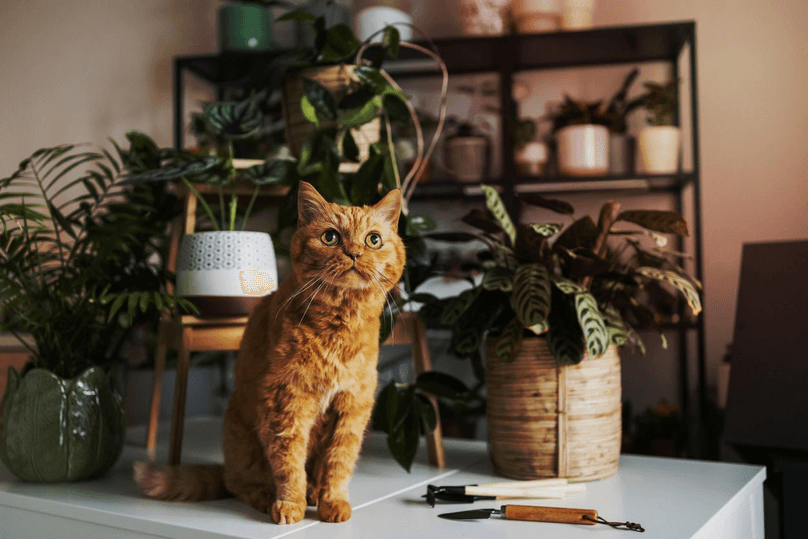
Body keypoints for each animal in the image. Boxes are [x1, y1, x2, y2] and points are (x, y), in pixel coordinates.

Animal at [135, 180, 408, 524]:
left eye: (373, 239)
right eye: (330, 237)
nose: (354, 253)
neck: (339, 325)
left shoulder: (352, 406)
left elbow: (339, 462)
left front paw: (333, 502)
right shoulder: (285, 401)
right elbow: (289, 462)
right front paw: (290, 505)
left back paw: (314, 493)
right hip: (244, 446)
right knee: (240, 484)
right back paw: (271, 498)